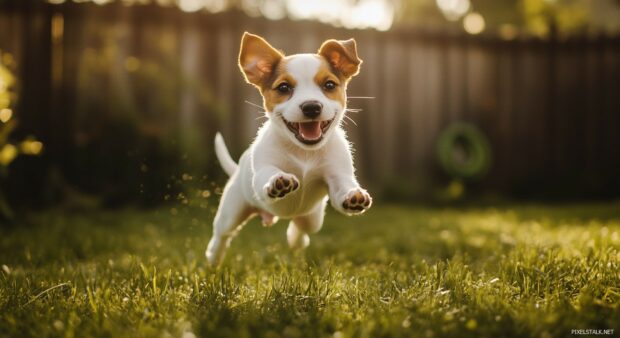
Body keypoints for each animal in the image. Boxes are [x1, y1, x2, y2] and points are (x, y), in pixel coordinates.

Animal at [208, 33, 372, 266]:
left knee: (301, 228)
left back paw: (296, 240)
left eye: (329, 84)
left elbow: (343, 188)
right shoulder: (262, 172)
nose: (311, 107)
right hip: (232, 210)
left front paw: (353, 196)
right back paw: (213, 256)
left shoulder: (338, 175)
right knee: (222, 234)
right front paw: (279, 181)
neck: (304, 152)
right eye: (284, 88)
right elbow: (269, 174)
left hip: (313, 217)